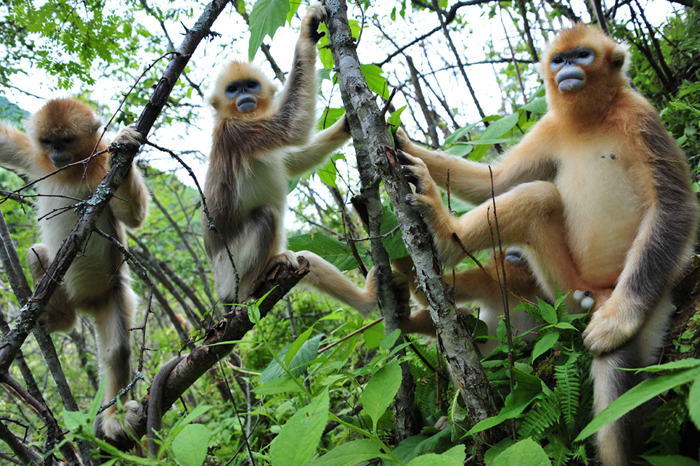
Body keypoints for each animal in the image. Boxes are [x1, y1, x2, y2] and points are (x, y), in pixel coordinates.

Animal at [0, 96, 149, 442]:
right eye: (48, 141)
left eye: (66, 140)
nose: (56, 154)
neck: (74, 167)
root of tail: (85, 304)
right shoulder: (36, 159)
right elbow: (4, 144)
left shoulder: (101, 167)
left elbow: (133, 216)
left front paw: (126, 144)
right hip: (64, 289)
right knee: (37, 254)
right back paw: (57, 318)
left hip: (113, 293)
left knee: (116, 351)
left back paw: (115, 419)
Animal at [202, 2, 378, 314]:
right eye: (232, 89)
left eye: (250, 85)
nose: (243, 95)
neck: (244, 115)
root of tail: (221, 295)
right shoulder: (236, 132)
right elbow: (292, 127)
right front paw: (307, 31)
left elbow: (296, 161)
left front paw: (347, 123)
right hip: (229, 274)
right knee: (266, 215)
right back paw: (251, 286)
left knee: (306, 257)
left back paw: (368, 301)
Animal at [396, 25, 696, 466]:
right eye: (559, 59)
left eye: (583, 55)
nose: (568, 69)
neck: (589, 120)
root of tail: (596, 291)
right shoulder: (550, 128)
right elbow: (496, 180)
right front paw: (406, 143)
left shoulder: (642, 116)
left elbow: (675, 206)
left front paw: (618, 322)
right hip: (564, 292)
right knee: (536, 197)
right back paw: (439, 237)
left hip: (627, 302)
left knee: (615, 376)